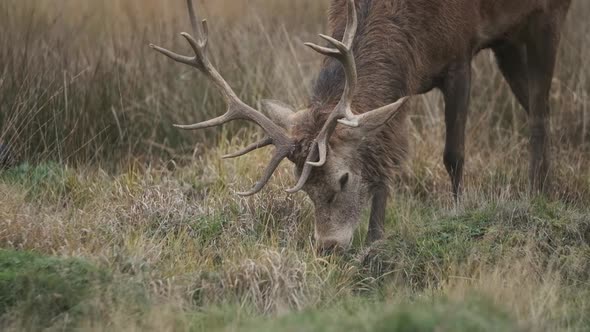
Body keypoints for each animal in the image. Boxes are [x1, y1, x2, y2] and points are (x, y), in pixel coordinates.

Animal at [153, 0, 572, 249]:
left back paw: (540, 192)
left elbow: (453, 154)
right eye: (304, 188)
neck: (415, 39)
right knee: (539, 108)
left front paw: (456, 214)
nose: (328, 248)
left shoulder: (460, 53)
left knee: (540, 111)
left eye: (342, 179)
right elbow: (385, 161)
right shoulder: (399, 93)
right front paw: (374, 242)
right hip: (507, 39)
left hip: (546, 15)